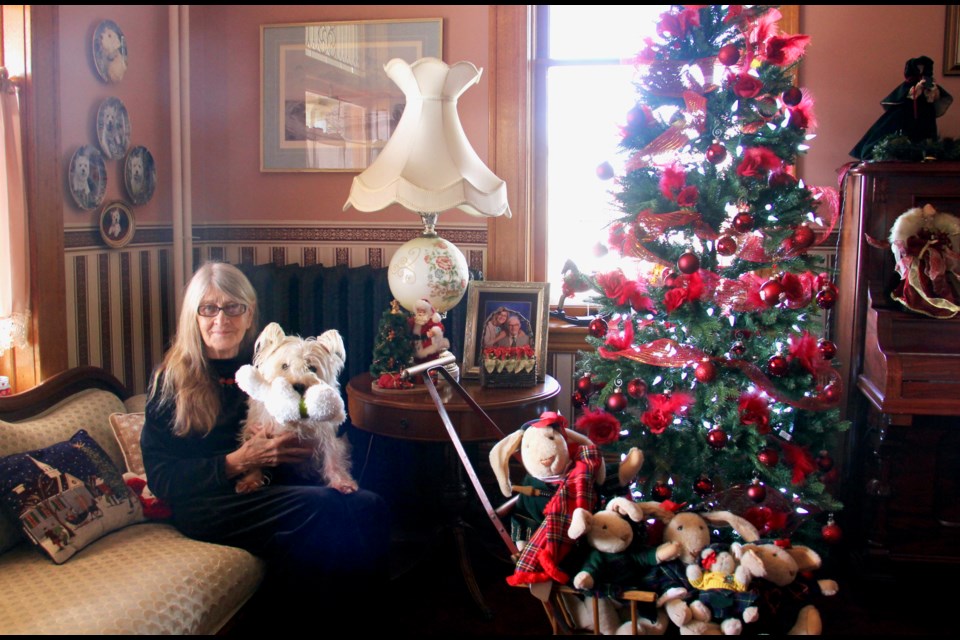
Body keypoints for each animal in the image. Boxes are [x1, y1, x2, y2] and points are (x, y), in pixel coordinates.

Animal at [232, 324, 356, 496]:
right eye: (284, 366)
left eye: (312, 368)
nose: (298, 386)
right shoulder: (255, 430)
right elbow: (253, 458)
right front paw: (250, 481)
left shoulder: (327, 435)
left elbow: (333, 457)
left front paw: (342, 482)